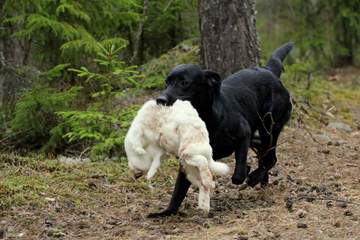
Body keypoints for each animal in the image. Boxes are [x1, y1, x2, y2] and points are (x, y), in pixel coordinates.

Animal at [148, 41, 292, 218]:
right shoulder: (188, 159)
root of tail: (269, 71)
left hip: (269, 126)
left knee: (270, 159)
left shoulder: (243, 133)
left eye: (184, 82)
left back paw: (254, 177)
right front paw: (166, 212)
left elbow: (238, 173)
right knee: (263, 154)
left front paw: (246, 173)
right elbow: (178, 191)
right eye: (166, 82)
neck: (206, 121)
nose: (160, 99)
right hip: (260, 134)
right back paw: (262, 180)